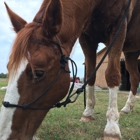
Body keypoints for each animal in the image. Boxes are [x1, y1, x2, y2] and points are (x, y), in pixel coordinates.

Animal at [0, 0, 140, 139]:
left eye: (39, 73)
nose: (5, 135)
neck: (98, 4)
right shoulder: (87, 38)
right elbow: (90, 74)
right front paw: (88, 113)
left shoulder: (118, 29)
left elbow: (112, 75)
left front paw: (112, 127)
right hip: (131, 54)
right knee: (134, 78)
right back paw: (128, 107)